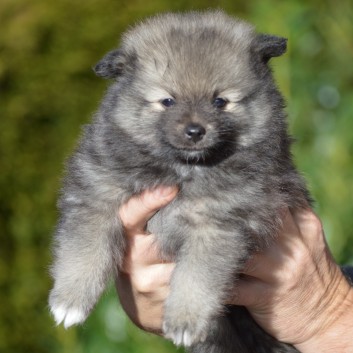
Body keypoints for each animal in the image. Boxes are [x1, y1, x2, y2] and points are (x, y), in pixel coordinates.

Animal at [48, 11, 310, 352]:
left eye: (220, 101)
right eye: (168, 101)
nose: (195, 131)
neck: (181, 170)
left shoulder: (216, 225)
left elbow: (195, 277)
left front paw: (184, 320)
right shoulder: (97, 193)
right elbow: (84, 248)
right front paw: (69, 300)